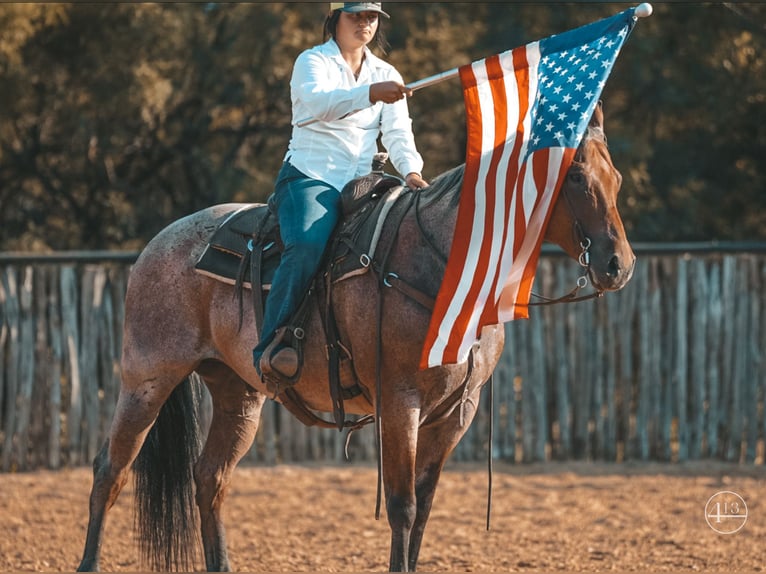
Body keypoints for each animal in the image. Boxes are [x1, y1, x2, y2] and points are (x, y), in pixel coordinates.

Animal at [76, 103, 636, 572]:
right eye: (576, 177)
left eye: (615, 178)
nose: (619, 265)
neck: (443, 269)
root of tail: (158, 243)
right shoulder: (399, 403)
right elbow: (403, 508)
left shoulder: (457, 411)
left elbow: (424, 508)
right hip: (148, 379)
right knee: (110, 471)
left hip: (238, 394)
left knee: (210, 479)